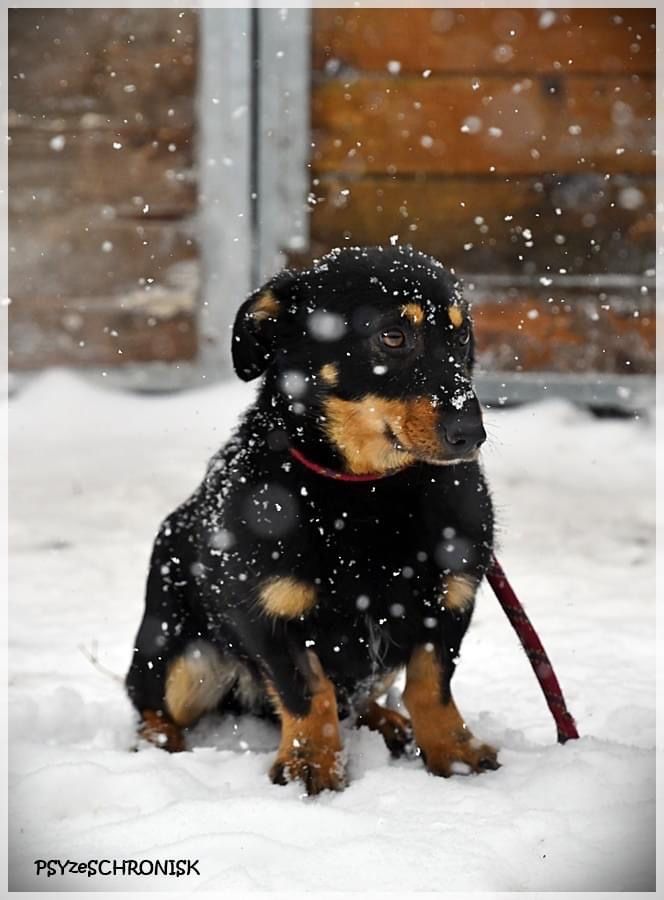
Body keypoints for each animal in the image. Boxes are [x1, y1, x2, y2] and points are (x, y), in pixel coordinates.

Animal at [126, 243, 498, 792]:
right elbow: (307, 692)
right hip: (179, 654)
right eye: (393, 335)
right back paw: (157, 741)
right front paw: (311, 764)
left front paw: (454, 755)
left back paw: (386, 721)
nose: (472, 434)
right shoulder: (267, 614)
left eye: (462, 334)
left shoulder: (450, 597)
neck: (365, 490)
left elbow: (432, 685)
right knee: (149, 700)